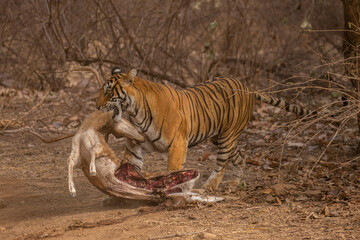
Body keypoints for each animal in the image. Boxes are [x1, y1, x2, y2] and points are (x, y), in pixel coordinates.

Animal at [96, 67, 316, 189]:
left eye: (108, 91)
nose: (96, 107)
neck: (136, 111)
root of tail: (247, 87)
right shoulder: (135, 144)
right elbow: (130, 165)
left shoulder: (178, 144)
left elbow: (173, 171)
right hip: (220, 137)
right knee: (240, 158)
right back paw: (235, 184)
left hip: (226, 137)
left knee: (222, 163)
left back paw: (210, 186)